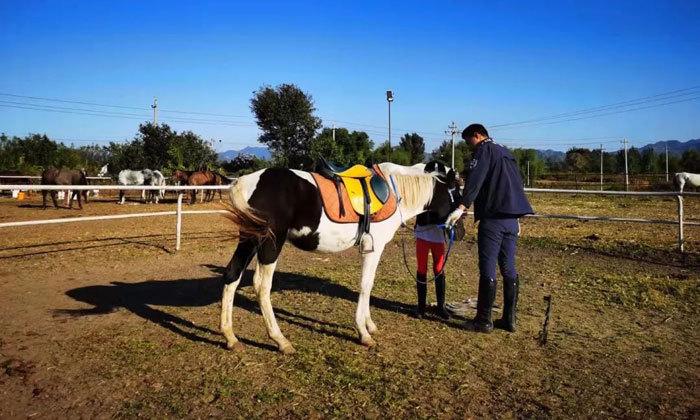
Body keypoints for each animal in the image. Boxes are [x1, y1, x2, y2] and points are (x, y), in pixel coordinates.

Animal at [219, 162, 457, 354]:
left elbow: (368, 286)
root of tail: (244, 181)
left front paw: (370, 325)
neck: (394, 190)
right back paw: (280, 340)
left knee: (232, 275)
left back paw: (230, 337)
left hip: (250, 240)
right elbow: (365, 285)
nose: (457, 223)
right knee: (261, 286)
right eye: (457, 189)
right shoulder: (375, 248)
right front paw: (364, 333)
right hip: (271, 243)